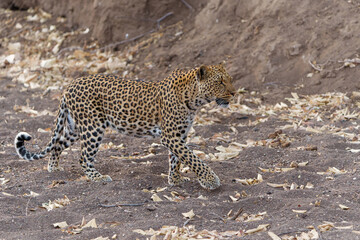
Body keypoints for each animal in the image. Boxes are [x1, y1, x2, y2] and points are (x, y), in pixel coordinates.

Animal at [14, 62, 236, 190]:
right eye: (220, 82)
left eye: (229, 79)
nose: (234, 93)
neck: (194, 99)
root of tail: (69, 86)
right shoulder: (171, 136)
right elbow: (193, 158)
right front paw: (210, 180)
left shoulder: (179, 136)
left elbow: (177, 159)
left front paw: (175, 181)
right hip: (93, 127)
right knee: (83, 157)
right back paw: (98, 178)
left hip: (75, 127)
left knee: (58, 144)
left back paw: (54, 169)